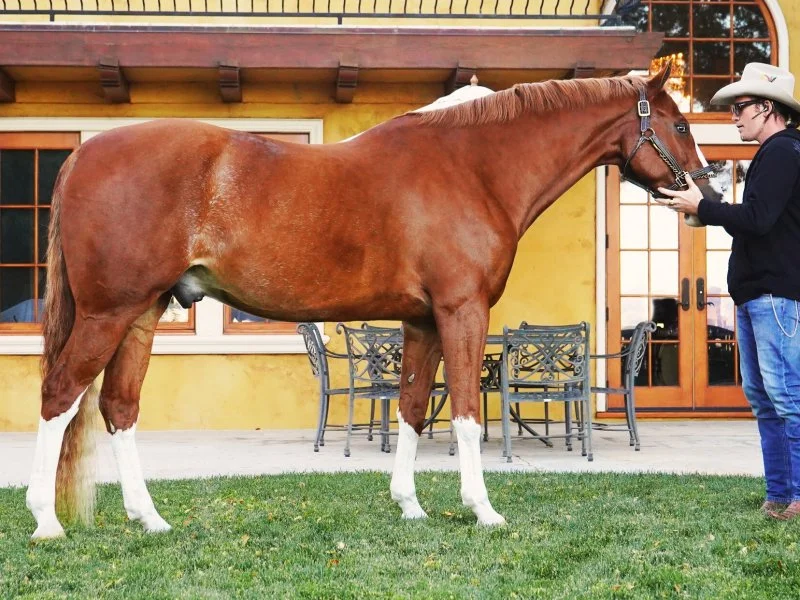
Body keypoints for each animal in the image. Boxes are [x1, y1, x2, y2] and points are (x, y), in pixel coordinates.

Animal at [26, 62, 720, 538]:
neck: (474, 168)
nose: (704, 193)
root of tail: (84, 152)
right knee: (61, 395)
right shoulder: (463, 311)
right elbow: (466, 412)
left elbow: (412, 408)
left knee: (118, 407)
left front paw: (409, 505)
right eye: (681, 124)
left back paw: (149, 519)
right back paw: (46, 521)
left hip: (142, 312)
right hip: (110, 312)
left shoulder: (422, 321)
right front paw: (483, 509)